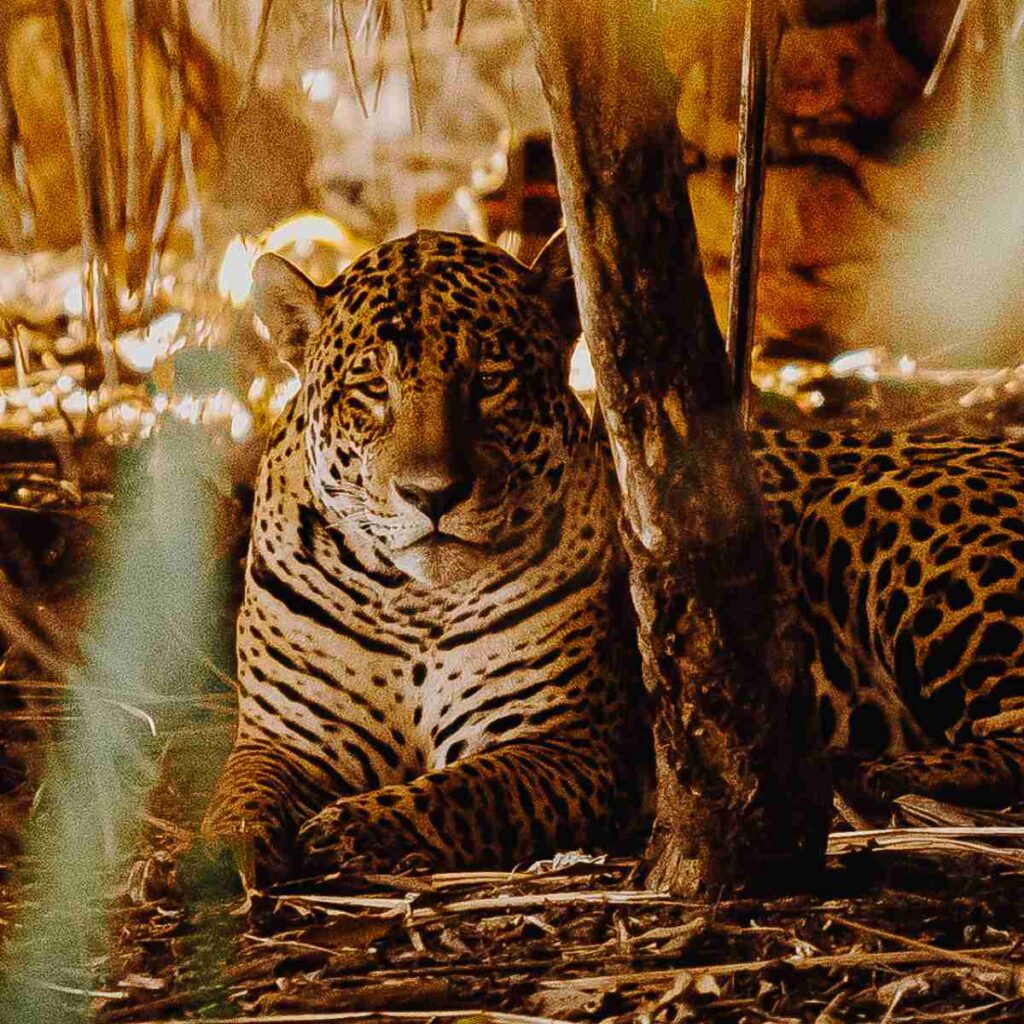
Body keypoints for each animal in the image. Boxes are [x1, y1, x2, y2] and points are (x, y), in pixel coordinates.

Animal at [201, 227, 1024, 882]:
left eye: (489, 382)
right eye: (371, 388)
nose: (431, 494)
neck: (412, 599)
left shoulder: (568, 746)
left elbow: (459, 792)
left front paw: (349, 827)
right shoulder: (282, 740)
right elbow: (239, 791)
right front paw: (227, 848)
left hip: (886, 528)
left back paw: (873, 773)